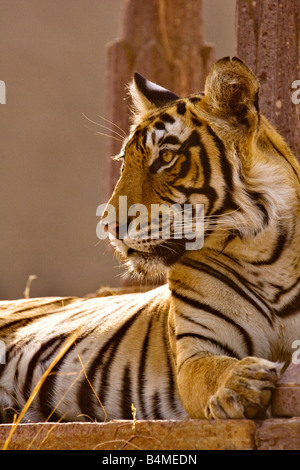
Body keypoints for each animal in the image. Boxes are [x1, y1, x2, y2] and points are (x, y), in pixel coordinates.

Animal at [0, 57, 300, 424]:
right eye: (124, 162)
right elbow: (212, 371)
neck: (263, 257)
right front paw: (240, 382)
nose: (108, 226)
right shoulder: (196, 352)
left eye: (166, 159)